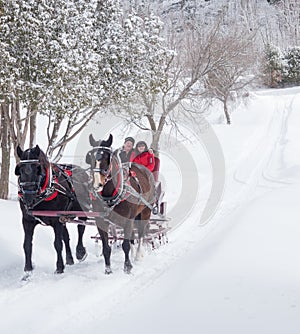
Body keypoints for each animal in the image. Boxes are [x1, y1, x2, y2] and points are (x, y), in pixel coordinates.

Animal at [15, 144, 89, 276]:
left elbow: (57, 244)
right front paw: (27, 270)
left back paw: (80, 252)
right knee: (66, 236)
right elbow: (27, 245)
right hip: (64, 217)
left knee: (81, 228)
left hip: (81, 211)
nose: (28, 197)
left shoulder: (56, 220)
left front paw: (59, 267)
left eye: (37, 169)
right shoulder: (27, 220)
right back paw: (69, 259)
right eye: (20, 169)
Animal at [84, 133, 155, 274]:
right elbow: (106, 248)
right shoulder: (101, 221)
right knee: (133, 235)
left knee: (140, 234)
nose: (97, 184)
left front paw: (127, 267)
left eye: (107, 157)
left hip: (145, 211)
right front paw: (108, 270)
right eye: (90, 156)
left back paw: (138, 255)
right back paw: (133, 254)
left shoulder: (128, 220)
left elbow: (125, 245)